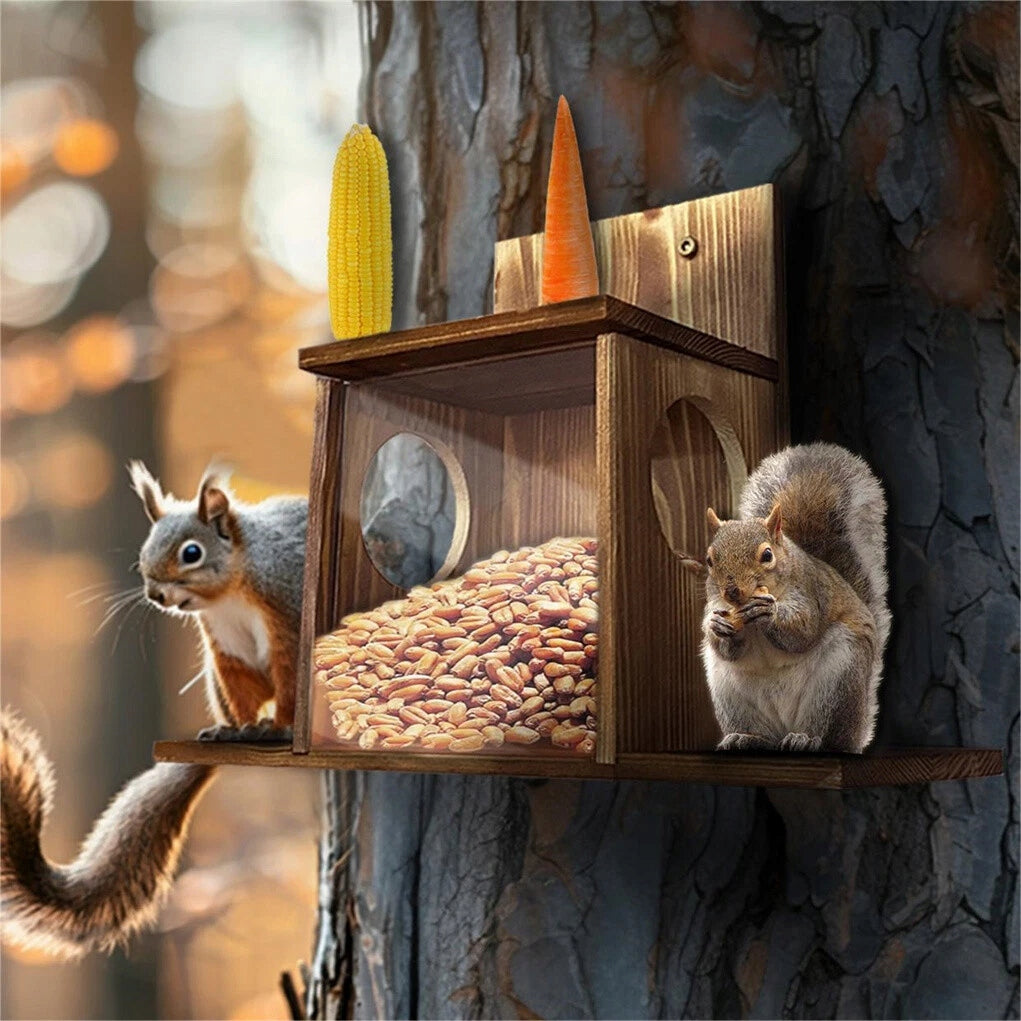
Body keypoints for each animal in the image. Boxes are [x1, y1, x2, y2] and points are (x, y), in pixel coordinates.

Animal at [1, 463, 307, 959]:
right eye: (145, 550)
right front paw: (242, 728)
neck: (229, 594)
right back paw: (229, 732)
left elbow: (291, 683)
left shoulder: (287, 616)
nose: (155, 594)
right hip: (211, 674)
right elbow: (242, 689)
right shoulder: (226, 651)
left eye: (191, 553)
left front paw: (281, 727)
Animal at [681, 443, 890, 753]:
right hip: (731, 694)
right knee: (763, 734)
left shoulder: (811, 592)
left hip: (838, 679)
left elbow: (802, 631)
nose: (732, 591)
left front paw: (770, 614)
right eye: (709, 560)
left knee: (826, 733)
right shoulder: (715, 604)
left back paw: (806, 739)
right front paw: (717, 627)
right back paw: (746, 738)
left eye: (767, 555)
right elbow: (725, 647)